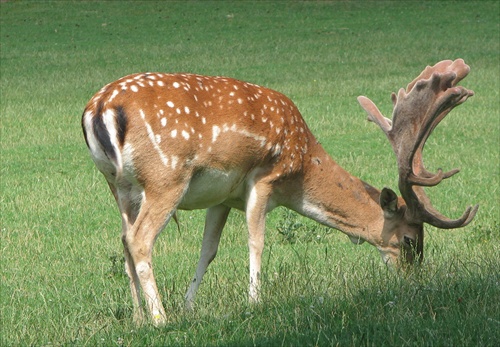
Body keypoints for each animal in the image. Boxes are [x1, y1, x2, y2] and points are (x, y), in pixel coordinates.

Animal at [83, 59, 480, 326]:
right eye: (410, 239)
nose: (414, 282)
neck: (301, 166)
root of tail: (98, 108)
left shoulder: (222, 197)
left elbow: (208, 250)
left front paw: (190, 305)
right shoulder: (265, 177)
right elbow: (256, 241)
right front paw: (255, 302)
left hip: (119, 185)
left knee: (123, 238)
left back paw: (138, 318)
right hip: (166, 176)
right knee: (139, 239)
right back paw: (160, 319)